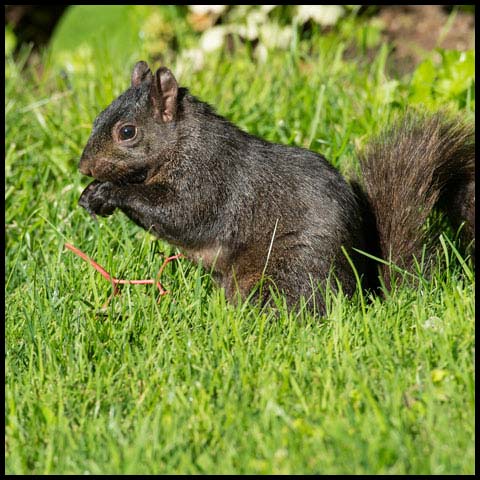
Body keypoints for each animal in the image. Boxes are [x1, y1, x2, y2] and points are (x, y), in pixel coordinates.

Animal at [77, 60, 474, 314]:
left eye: (127, 132)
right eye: (98, 117)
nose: (83, 167)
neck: (183, 142)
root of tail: (364, 294)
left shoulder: (208, 180)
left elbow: (181, 216)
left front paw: (109, 191)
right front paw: (90, 194)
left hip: (285, 271)